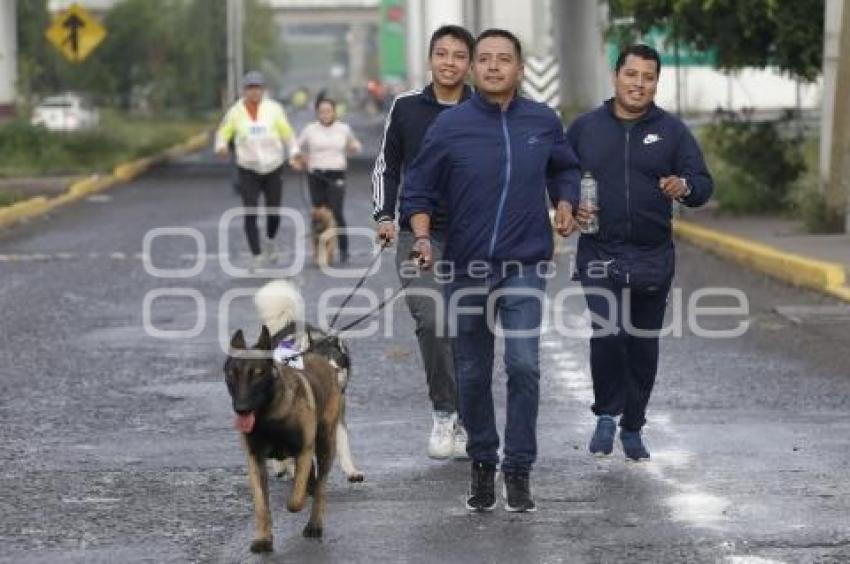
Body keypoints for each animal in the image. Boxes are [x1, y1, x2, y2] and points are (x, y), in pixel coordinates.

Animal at [227, 324, 346, 552]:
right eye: (233, 374)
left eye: (258, 373)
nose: (241, 409)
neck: (269, 415)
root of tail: (317, 355)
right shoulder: (255, 459)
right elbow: (261, 504)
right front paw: (263, 538)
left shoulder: (304, 450)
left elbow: (296, 499)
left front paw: (296, 501)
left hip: (325, 444)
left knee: (320, 487)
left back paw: (314, 524)